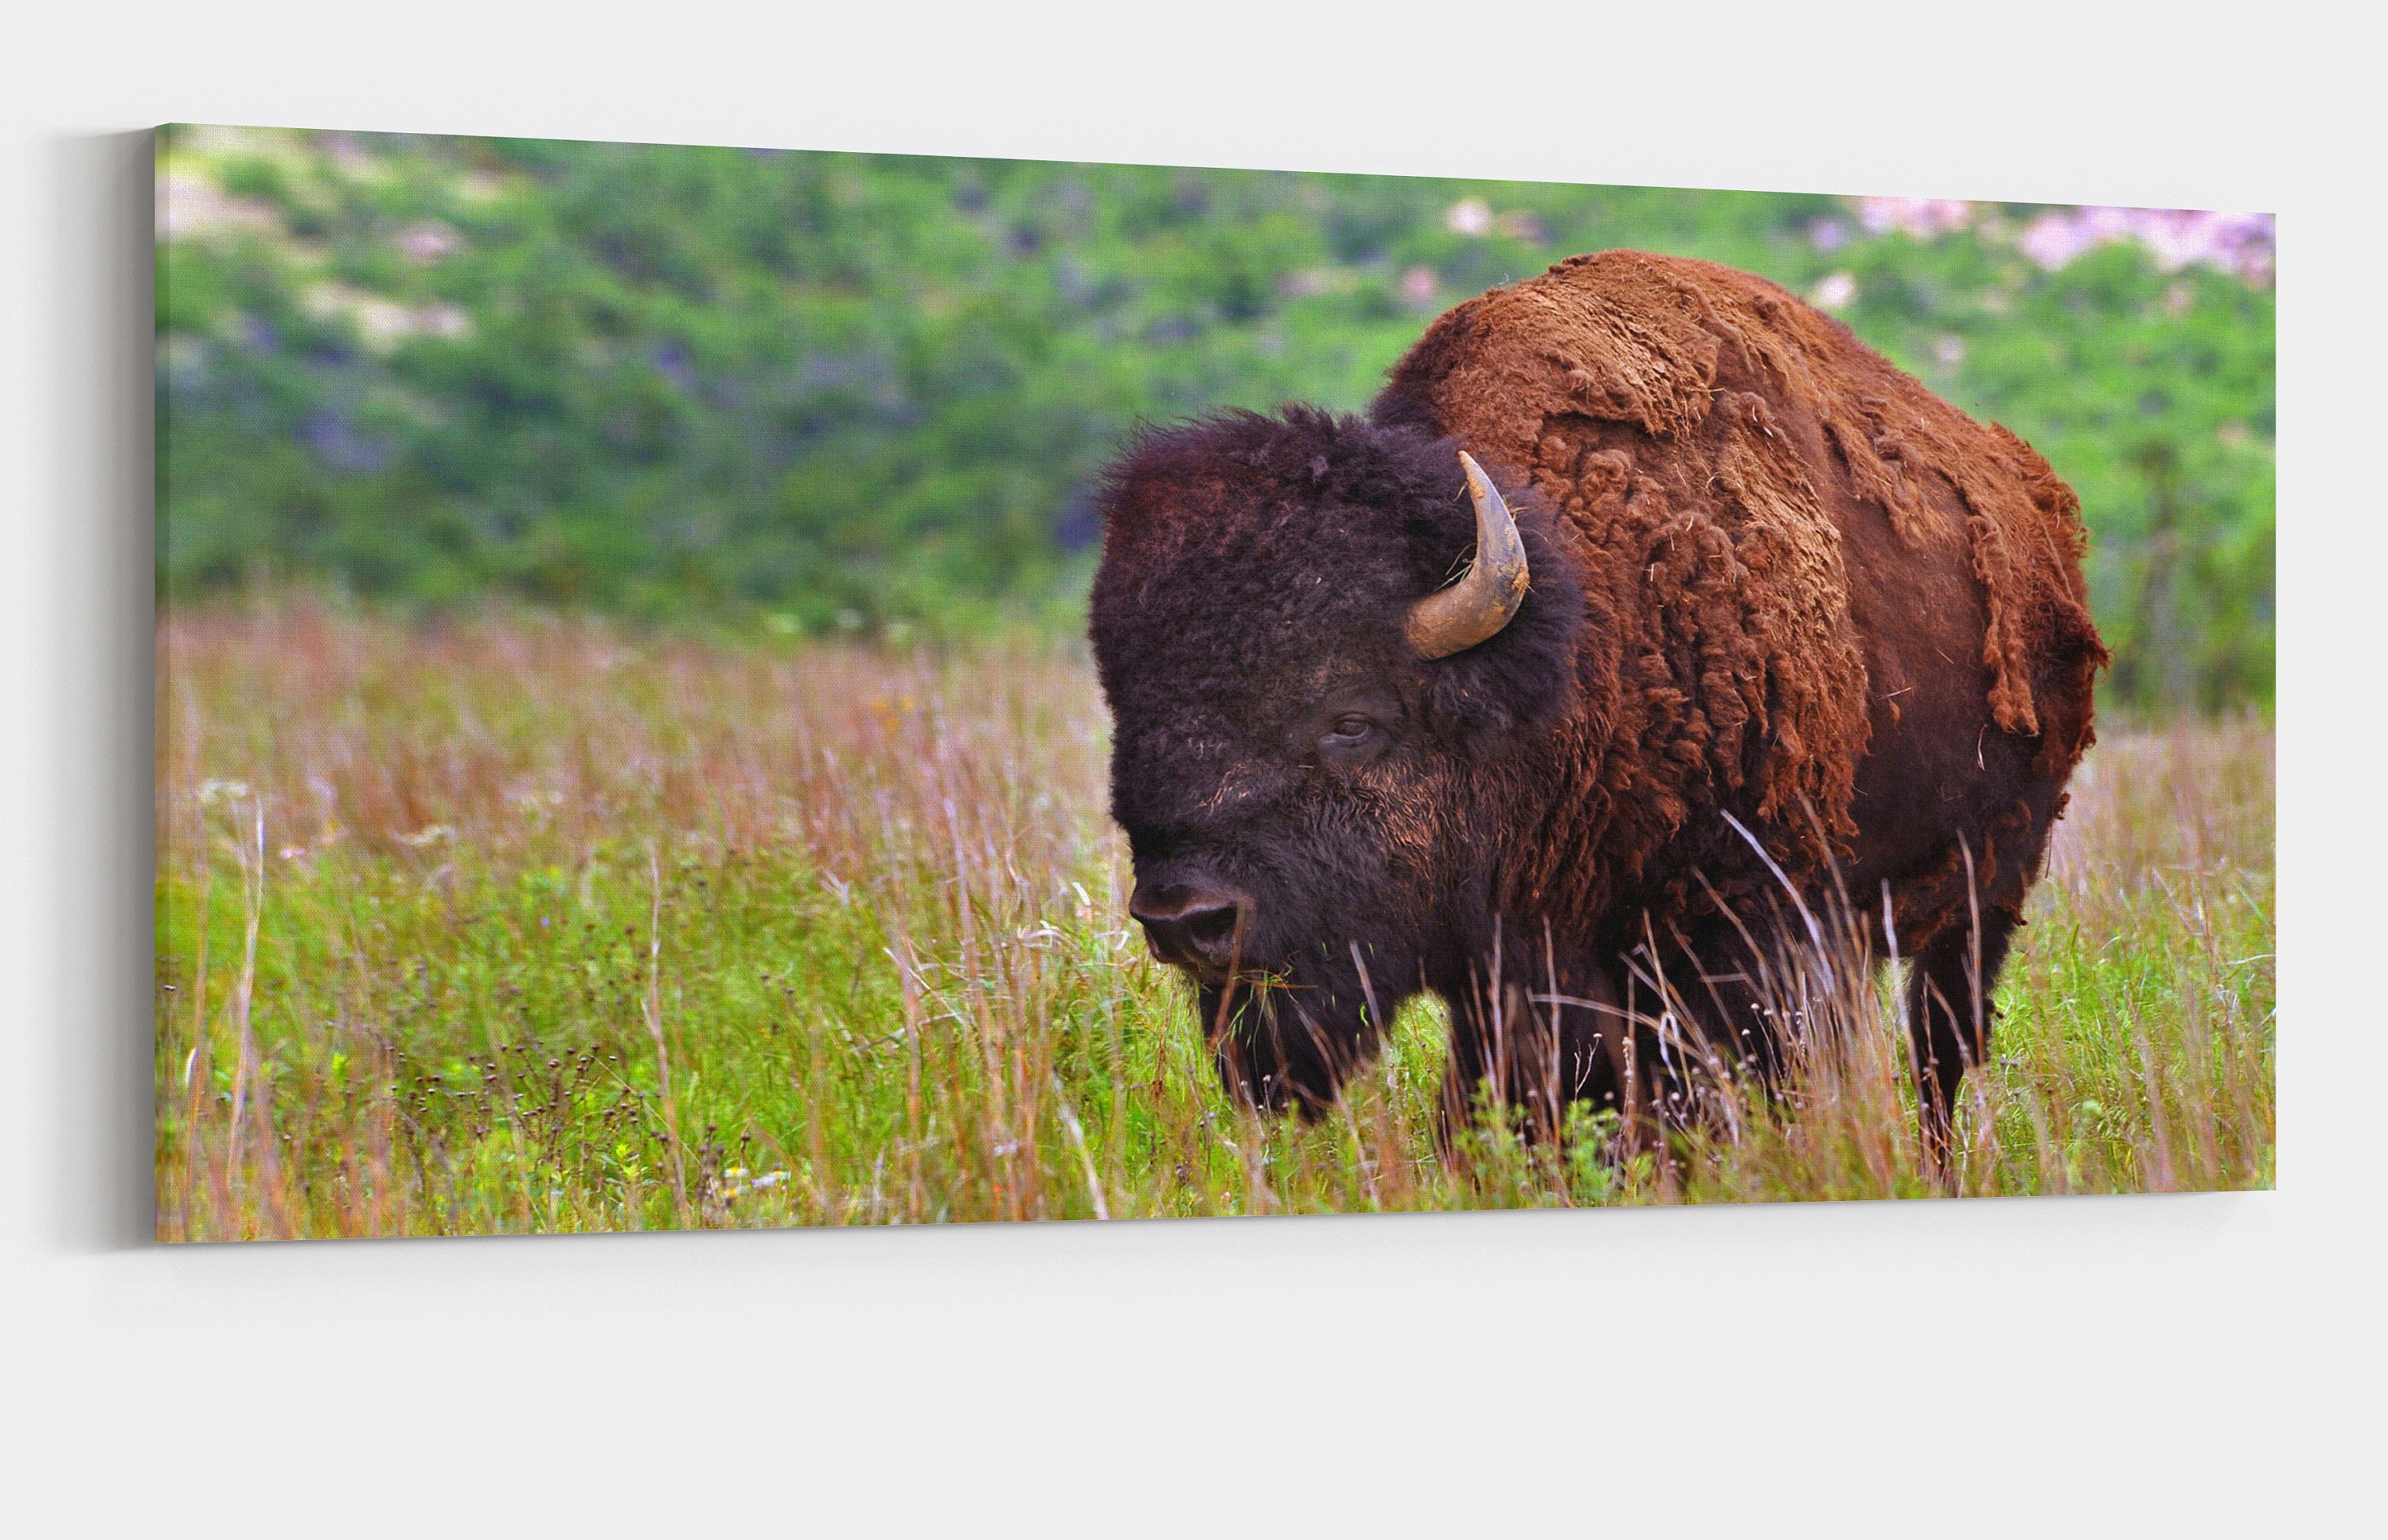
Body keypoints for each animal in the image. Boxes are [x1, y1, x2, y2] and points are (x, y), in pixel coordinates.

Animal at [1088, 251, 2106, 1155]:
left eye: (1351, 720)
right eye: (1129, 711)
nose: (1185, 918)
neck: (1577, 643)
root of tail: (2037, 508)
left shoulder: (1738, 930)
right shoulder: (1513, 964)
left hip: (1988, 888)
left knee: (1940, 1049)